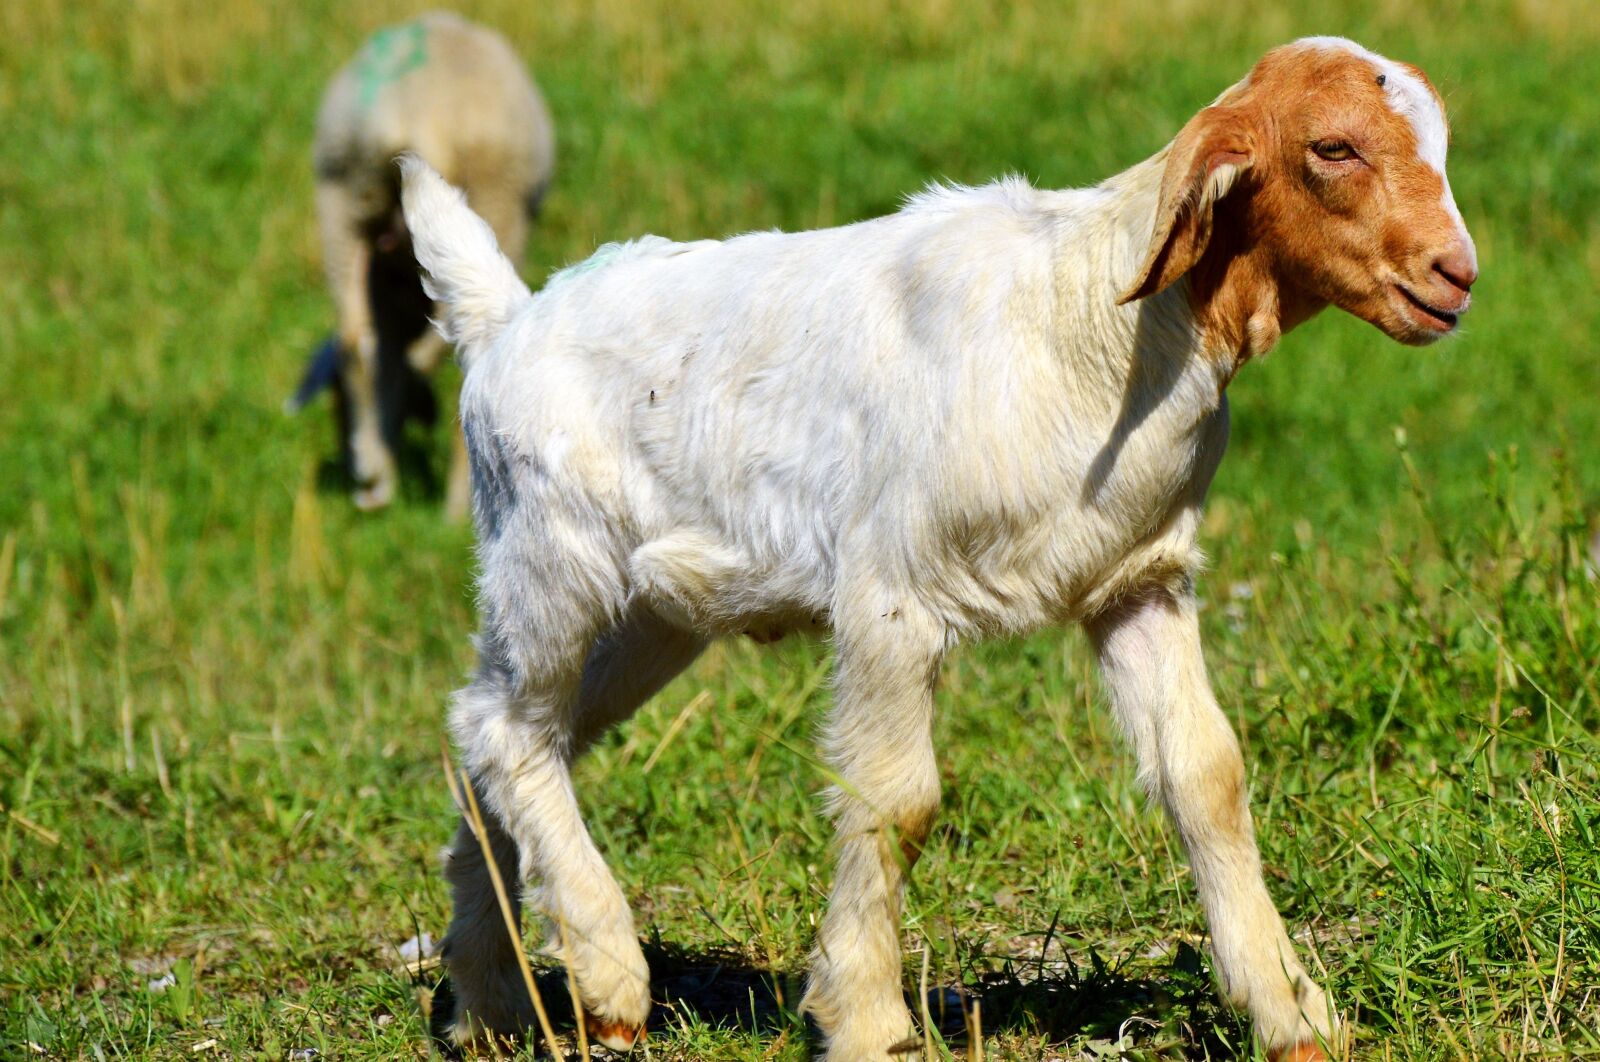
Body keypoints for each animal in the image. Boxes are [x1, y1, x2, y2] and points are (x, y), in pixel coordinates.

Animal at [294, 12, 554, 519]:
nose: (358, 472)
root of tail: (420, 112)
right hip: (496, 201)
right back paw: (454, 506)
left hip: (343, 204)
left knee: (357, 342)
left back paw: (380, 477)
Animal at [403, 37, 1476, 1061]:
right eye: (1332, 147)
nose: (1455, 277)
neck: (1096, 322)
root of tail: (506, 318)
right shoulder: (889, 590)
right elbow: (896, 797)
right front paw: (866, 1020)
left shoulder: (1137, 581)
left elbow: (1206, 777)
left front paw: (1295, 1016)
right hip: (550, 554)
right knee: (504, 729)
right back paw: (610, 976)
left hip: (653, 610)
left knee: (509, 736)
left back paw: (490, 1002)